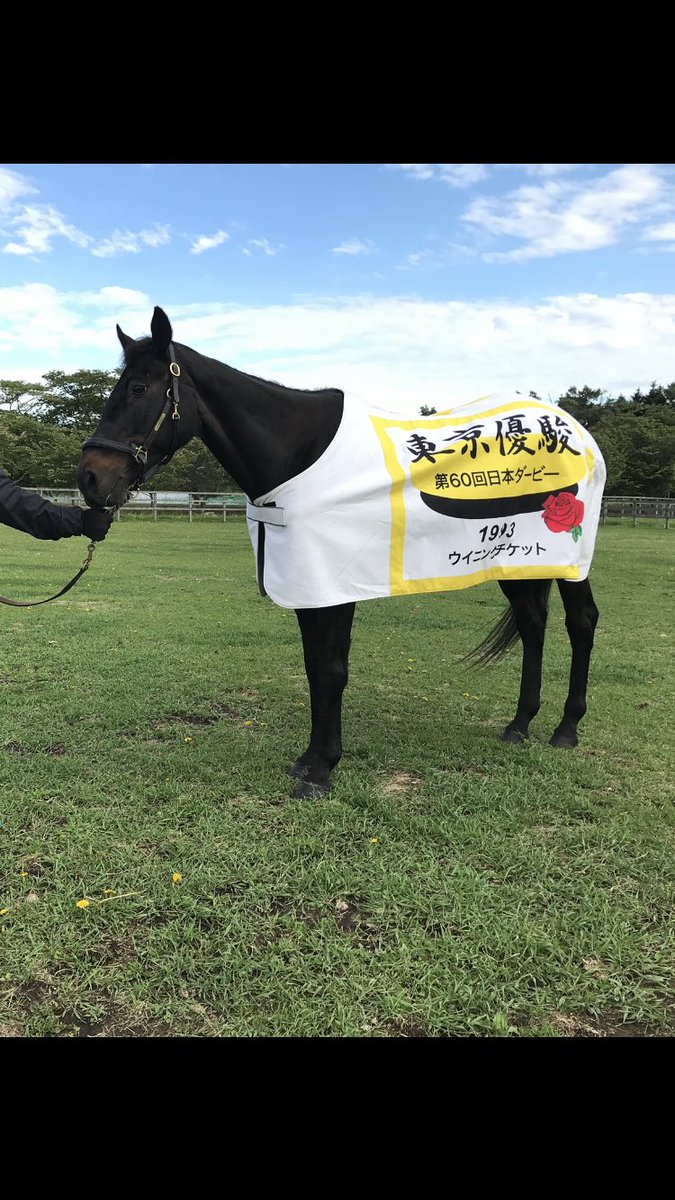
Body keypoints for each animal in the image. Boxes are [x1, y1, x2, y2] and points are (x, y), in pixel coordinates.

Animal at [77, 307, 605, 798]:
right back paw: (520, 725)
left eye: (139, 388)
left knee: (580, 623)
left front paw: (323, 770)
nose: (90, 479)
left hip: (570, 563)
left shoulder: (334, 585)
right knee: (533, 624)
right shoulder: (309, 587)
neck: (298, 455)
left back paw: (566, 729)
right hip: (517, 559)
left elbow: (331, 671)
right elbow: (315, 668)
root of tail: (574, 431)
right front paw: (309, 760)